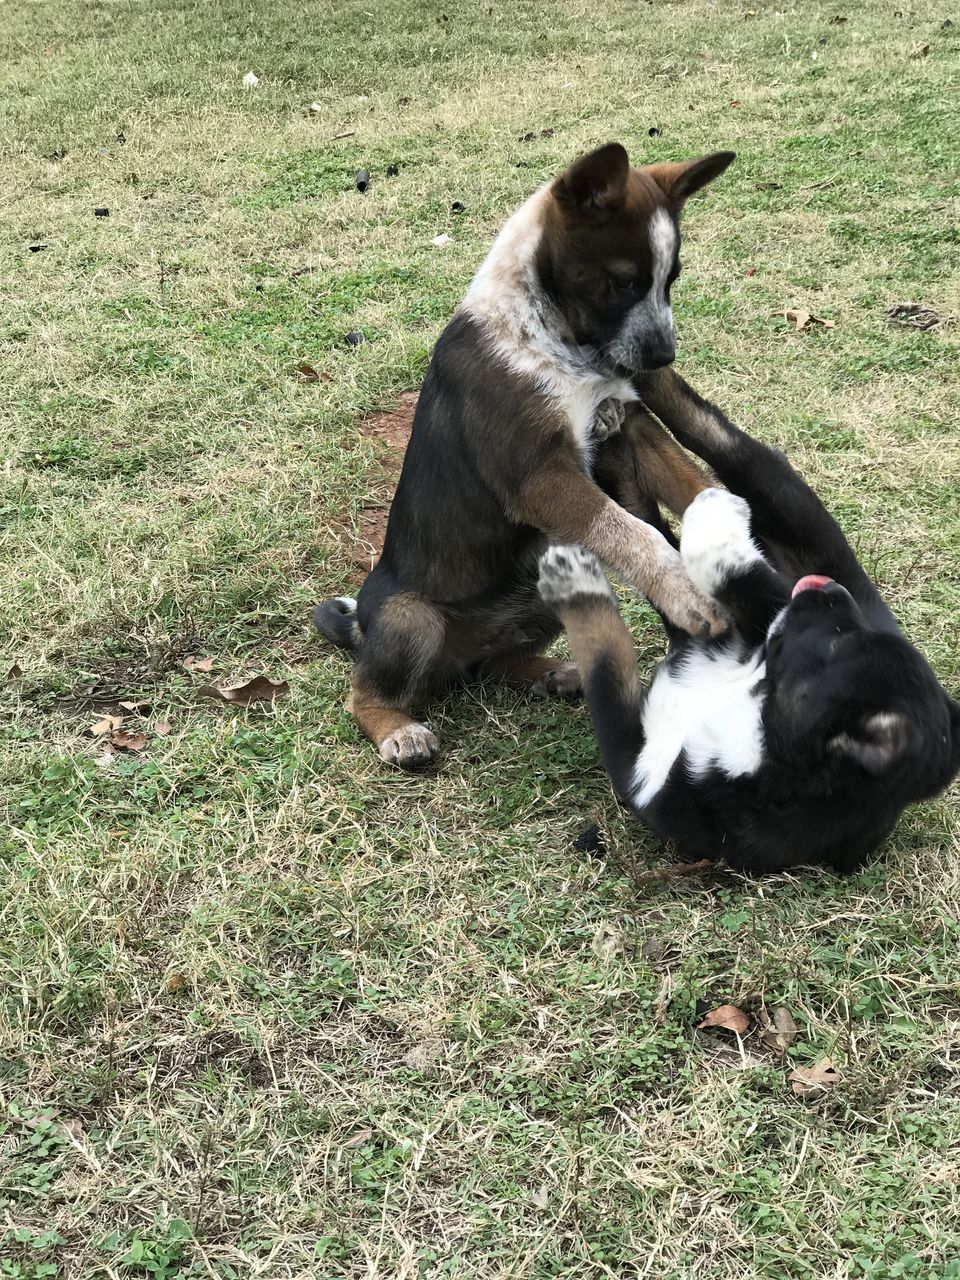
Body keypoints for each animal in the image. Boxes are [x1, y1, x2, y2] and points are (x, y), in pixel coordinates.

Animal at [317, 144, 737, 762]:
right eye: (622, 282)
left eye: (671, 280)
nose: (663, 357)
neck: (554, 339)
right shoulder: (540, 477)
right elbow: (637, 533)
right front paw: (686, 594)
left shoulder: (629, 424)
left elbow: (694, 484)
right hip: (410, 620)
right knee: (363, 692)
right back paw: (397, 729)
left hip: (541, 595)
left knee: (496, 666)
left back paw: (555, 673)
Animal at [542, 376, 960, 880]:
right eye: (856, 634)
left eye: (836, 645)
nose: (831, 590)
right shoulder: (743, 620)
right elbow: (683, 554)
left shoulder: (637, 761)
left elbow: (604, 653)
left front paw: (573, 580)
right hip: (791, 512)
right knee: (697, 448)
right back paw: (623, 421)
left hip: (781, 502)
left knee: (717, 442)